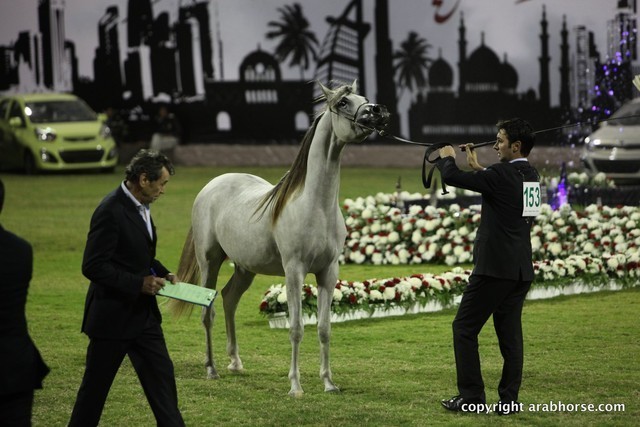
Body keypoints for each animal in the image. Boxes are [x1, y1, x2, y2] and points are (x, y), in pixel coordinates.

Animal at [170, 81, 390, 397]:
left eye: (364, 97)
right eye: (343, 102)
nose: (378, 112)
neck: (315, 205)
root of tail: (211, 185)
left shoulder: (328, 272)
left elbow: (324, 329)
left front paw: (328, 383)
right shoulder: (294, 271)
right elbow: (296, 328)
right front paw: (295, 386)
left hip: (244, 268)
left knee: (229, 298)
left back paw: (235, 362)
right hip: (209, 262)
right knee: (207, 311)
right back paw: (211, 369)